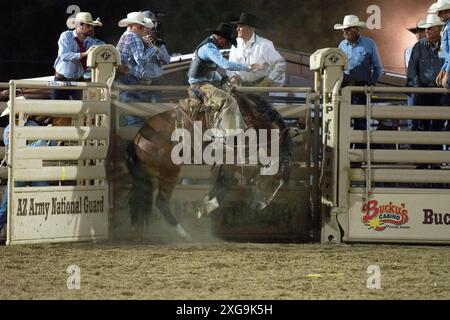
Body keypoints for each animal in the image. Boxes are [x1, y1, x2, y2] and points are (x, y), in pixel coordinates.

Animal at [125, 89, 296, 240]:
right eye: (275, 180)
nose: (261, 206)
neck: (252, 121)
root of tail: (137, 140)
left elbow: (222, 182)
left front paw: (205, 203)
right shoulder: (230, 156)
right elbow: (226, 182)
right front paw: (205, 207)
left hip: (149, 177)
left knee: (137, 199)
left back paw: (135, 231)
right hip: (170, 173)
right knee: (161, 203)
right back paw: (184, 234)